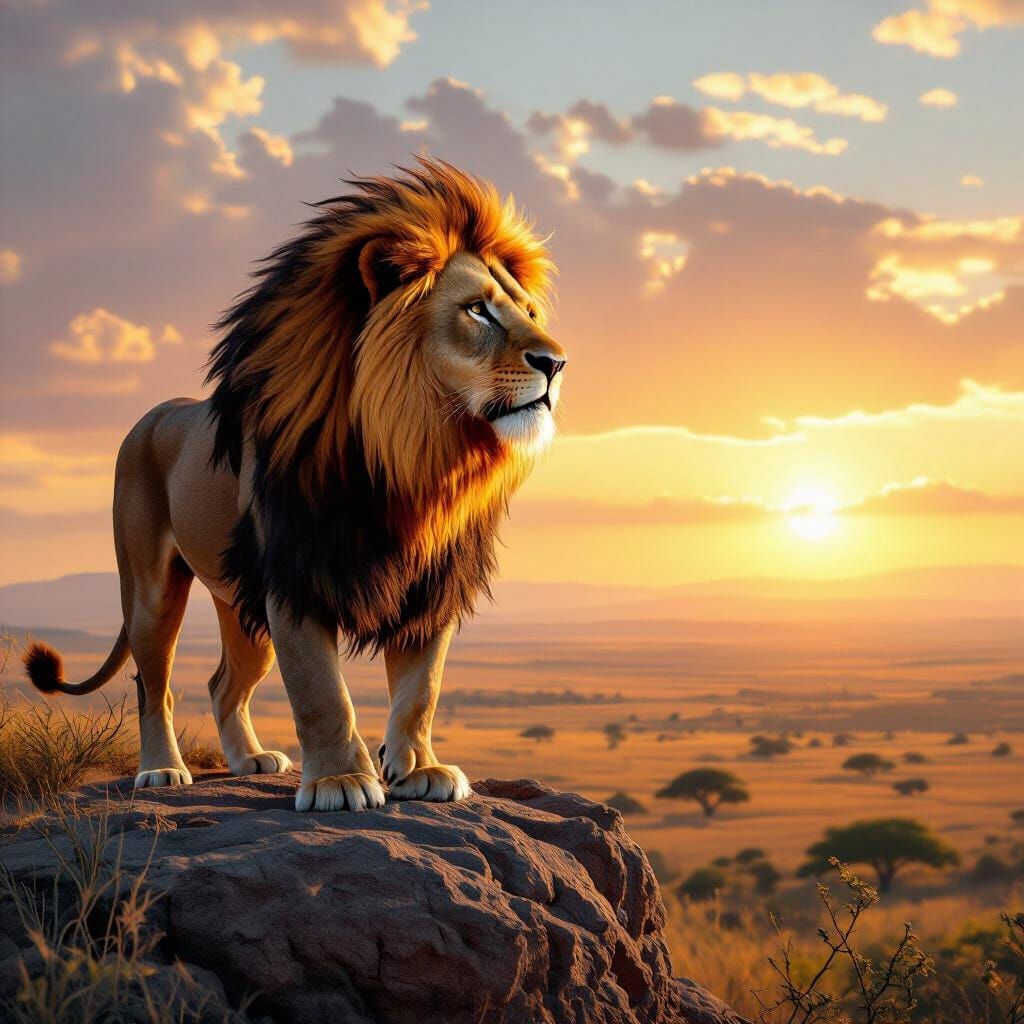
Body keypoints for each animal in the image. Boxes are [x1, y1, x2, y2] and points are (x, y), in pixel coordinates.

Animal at [24, 159, 566, 812]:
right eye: (477, 311)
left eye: (529, 314)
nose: (556, 363)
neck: (413, 457)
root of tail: (153, 415)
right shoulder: (295, 576)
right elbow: (321, 692)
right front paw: (339, 781)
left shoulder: (430, 584)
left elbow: (421, 690)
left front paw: (418, 770)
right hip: (152, 590)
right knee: (155, 687)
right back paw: (161, 770)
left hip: (242, 606)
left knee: (222, 683)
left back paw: (249, 760)